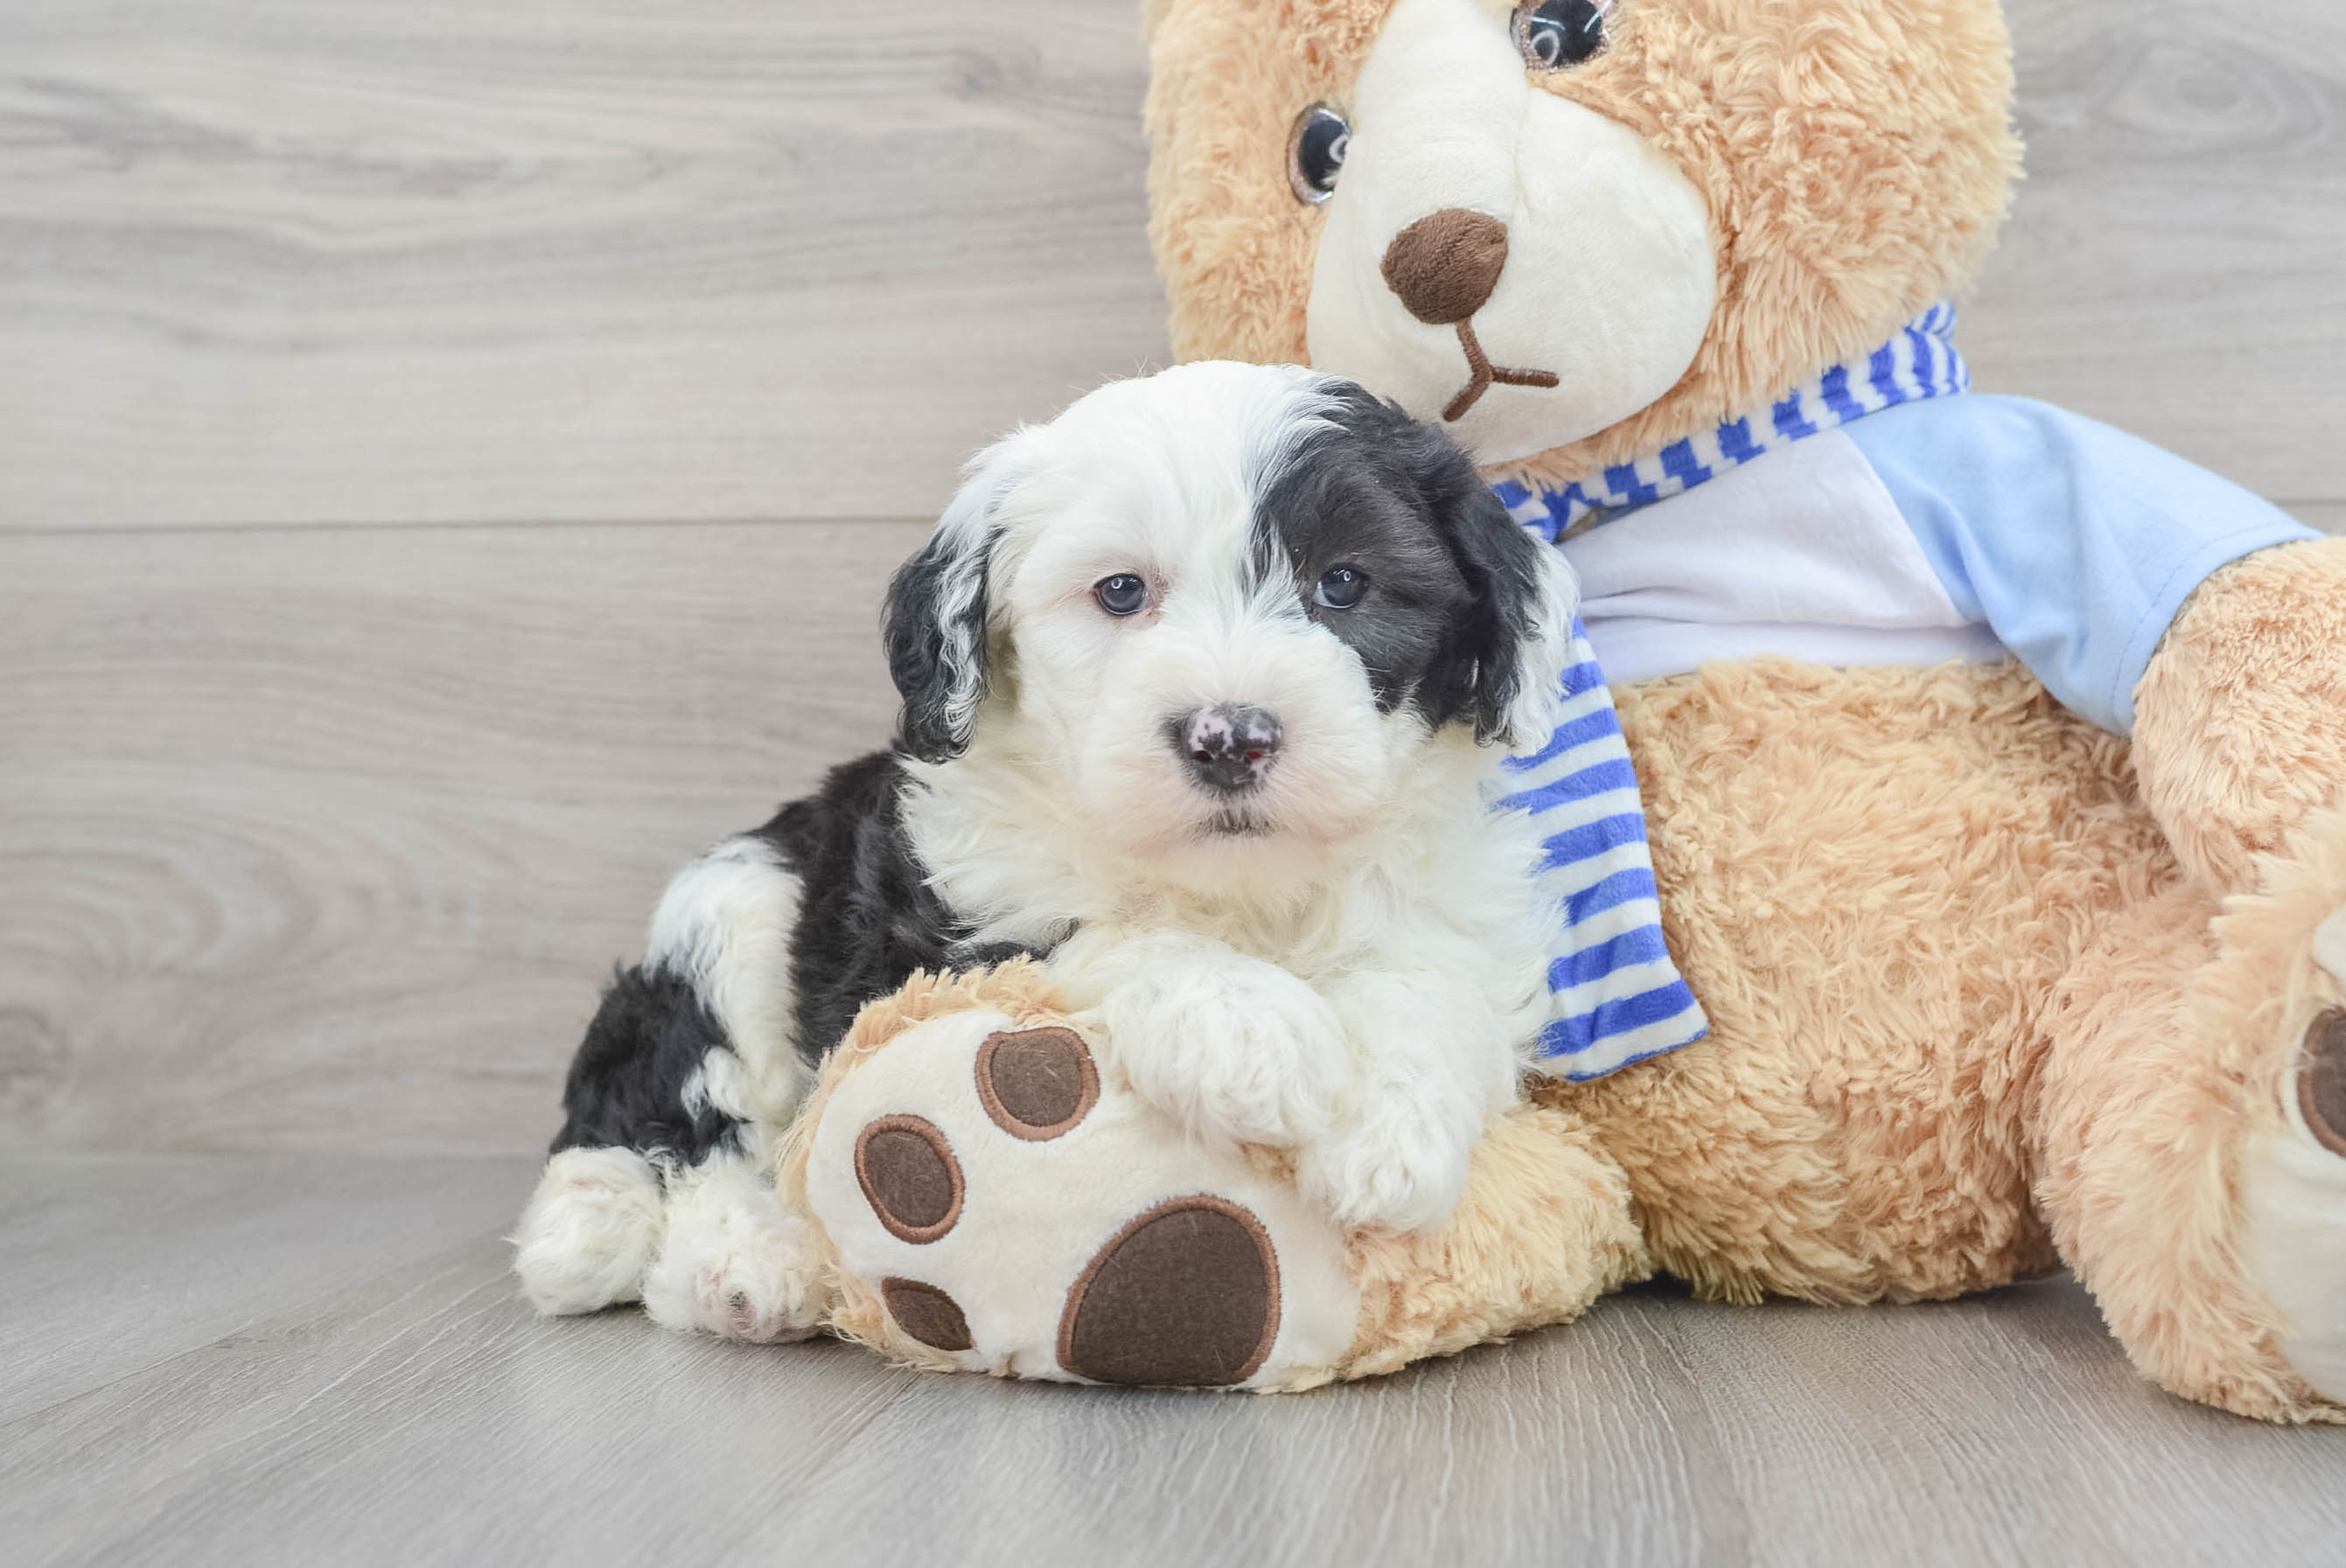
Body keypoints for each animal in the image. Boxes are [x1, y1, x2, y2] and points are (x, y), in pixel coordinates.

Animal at [513, 360, 1576, 1341]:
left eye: (1344, 582)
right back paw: (725, 1261)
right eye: (1121, 591)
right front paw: (1249, 1029)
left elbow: (1427, 979)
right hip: (738, 905)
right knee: (683, 1113)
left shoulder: (1454, 904)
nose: (1230, 736)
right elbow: (1100, 933)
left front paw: (1388, 1131)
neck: (1240, 888)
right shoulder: (947, 918)